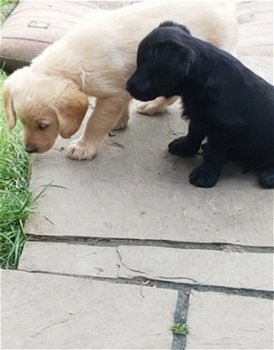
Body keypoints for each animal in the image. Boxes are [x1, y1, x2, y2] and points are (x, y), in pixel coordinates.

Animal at [2, 1, 238, 160]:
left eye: (44, 125)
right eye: (22, 121)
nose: (29, 150)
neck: (70, 56)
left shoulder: (113, 92)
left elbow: (96, 121)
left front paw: (84, 147)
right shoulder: (123, 87)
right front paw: (120, 121)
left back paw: (154, 105)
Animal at [126, 21, 274, 189]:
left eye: (143, 65)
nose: (127, 86)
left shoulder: (224, 128)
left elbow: (214, 152)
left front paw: (204, 174)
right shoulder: (198, 115)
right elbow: (193, 133)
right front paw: (184, 147)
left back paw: (269, 176)